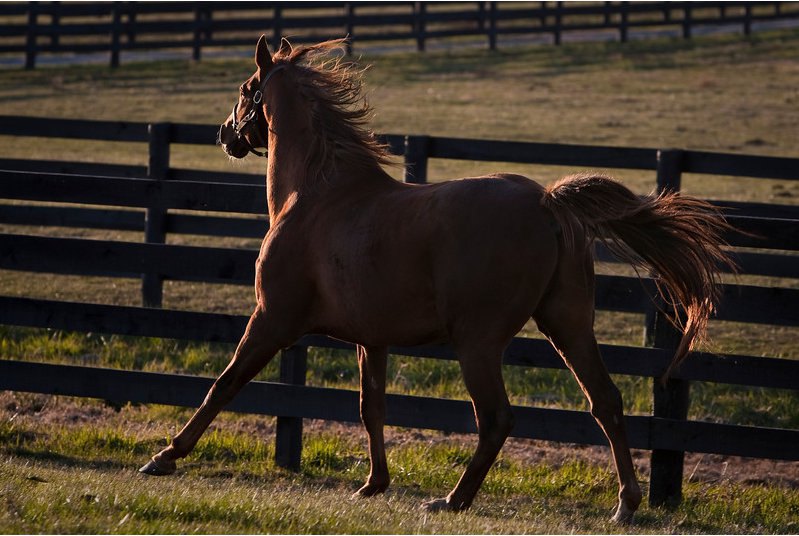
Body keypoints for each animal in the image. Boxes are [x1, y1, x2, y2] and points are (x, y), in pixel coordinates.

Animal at [139, 36, 736, 524]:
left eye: (247, 89)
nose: (225, 134)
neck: (316, 196)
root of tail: (547, 201)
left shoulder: (272, 320)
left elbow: (224, 384)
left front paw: (163, 458)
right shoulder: (371, 339)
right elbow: (371, 406)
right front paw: (372, 485)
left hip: (479, 341)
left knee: (496, 418)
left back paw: (453, 499)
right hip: (567, 324)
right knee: (605, 401)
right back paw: (625, 504)